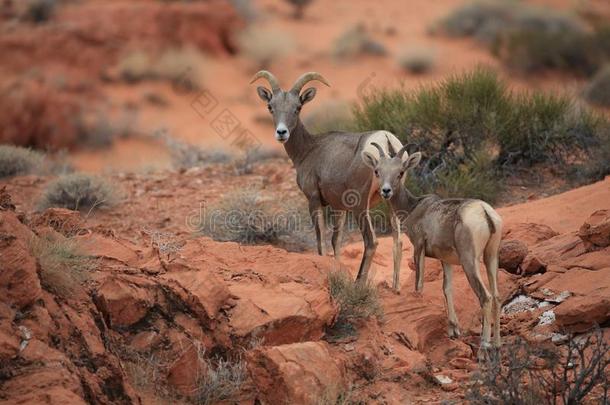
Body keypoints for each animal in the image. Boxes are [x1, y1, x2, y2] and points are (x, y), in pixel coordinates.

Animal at [249, 70, 402, 284]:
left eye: (298, 107)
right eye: (271, 107)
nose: (281, 132)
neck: (308, 149)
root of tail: (385, 140)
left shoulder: (314, 199)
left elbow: (320, 238)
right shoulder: (340, 208)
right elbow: (335, 241)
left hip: (361, 206)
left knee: (371, 241)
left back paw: (358, 283)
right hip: (392, 202)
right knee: (399, 241)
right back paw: (396, 288)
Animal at [360, 141, 504, 348]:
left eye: (400, 172)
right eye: (377, 171)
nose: (386, 191)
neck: (414, 207)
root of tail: (485, 212)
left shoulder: (419, 247)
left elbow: (418, 285)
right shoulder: (446, 261)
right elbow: (447, 289)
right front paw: (453, 330)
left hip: (470, 262)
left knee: (485, 296)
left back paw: (484, 344)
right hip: (491, 257)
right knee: (497, 296)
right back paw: (498, 344)